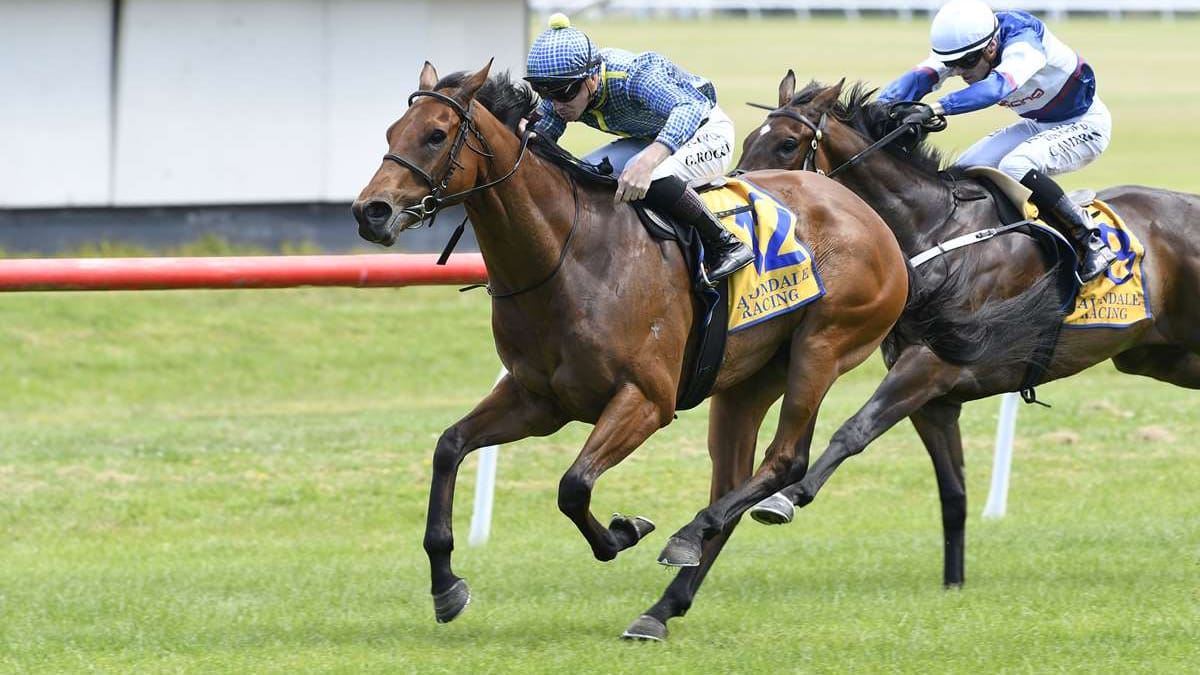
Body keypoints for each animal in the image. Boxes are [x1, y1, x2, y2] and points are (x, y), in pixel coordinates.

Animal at [351, 60, 979, 641]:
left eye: (435, 135)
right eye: (391, 131)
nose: (370, 211)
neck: (568, 253)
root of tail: (876, 222)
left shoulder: (647, 400)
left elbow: (573, 486)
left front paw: (624, 532)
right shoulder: (539, 401)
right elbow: (449, 447)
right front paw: (445, 586)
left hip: (823, 347)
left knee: (785, 461)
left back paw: (688, 536)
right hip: (746, 382)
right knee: (732, 484)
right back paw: (661, 608)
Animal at [733, 72, 1200, 589]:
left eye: (787, 144)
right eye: (751, 138)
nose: (742, 197)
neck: (933, 229)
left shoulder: (931, 365)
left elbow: (853, 431)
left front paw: (785, 498)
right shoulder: (934, 399)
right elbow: (952, 492)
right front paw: (953, 583)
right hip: (1163, 357)